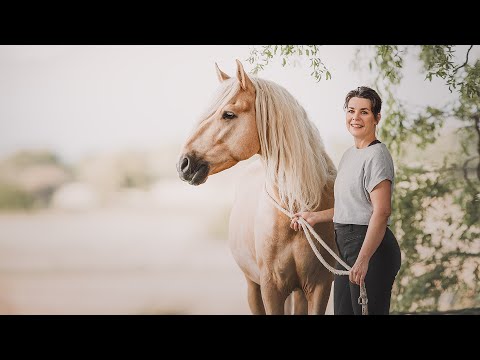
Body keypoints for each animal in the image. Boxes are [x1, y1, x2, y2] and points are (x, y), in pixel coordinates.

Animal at [176, 60, 338, 314]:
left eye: (228, 114)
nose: (183, 163)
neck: (294, 212)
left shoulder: (320, 287)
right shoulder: (271, 289)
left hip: (298, 292)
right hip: (253, 286)